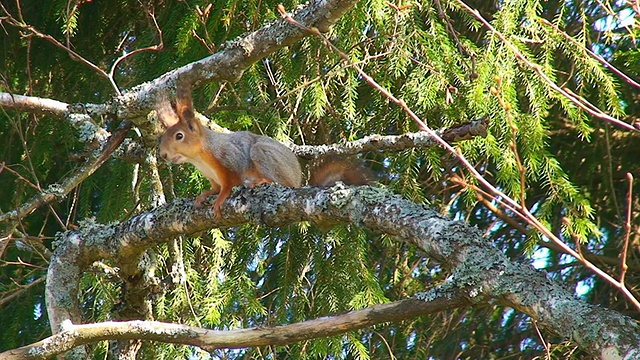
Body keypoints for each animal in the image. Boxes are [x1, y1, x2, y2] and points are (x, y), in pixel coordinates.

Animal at [156, 85, 370, 217]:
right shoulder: (212, 176)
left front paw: (220, 199)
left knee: (282, 184)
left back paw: (261, 181)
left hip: (262, 155)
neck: (199, 158)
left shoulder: (229, 160)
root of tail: (298, 180)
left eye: (179, 136)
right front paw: (204, 195)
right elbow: (215, 187)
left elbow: (228, 185)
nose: (163, 155)